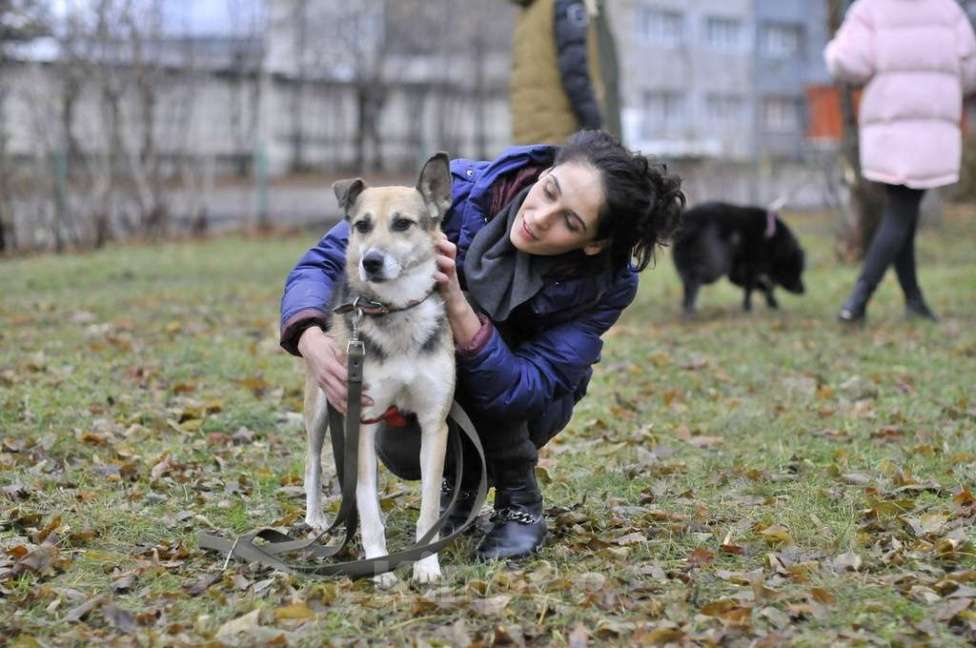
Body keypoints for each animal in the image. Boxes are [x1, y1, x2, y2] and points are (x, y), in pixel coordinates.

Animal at [304, 153, 456, 588]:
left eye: (403, 223)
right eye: (362, 225)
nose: (369, 261)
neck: (397, 312)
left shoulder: (434, 424)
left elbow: (429, 506)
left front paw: (426, 563)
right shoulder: (364, 419)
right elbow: (367, 503)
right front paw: (377, 562)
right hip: (321, 407)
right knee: (312, 462)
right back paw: (315, 517)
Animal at [676, 201, 804, 316]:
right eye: (798, 269)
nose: (804, 290)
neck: (772, 239)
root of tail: (692, 220)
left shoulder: (737, 273)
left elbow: (761, 286)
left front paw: (771, 302)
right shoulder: (751, 268)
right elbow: (752, 288)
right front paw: (749, 307)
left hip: (685, 263)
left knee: (687, 283)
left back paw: (685, 305)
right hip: (713, 267)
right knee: (694, 281)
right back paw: (691, 309)